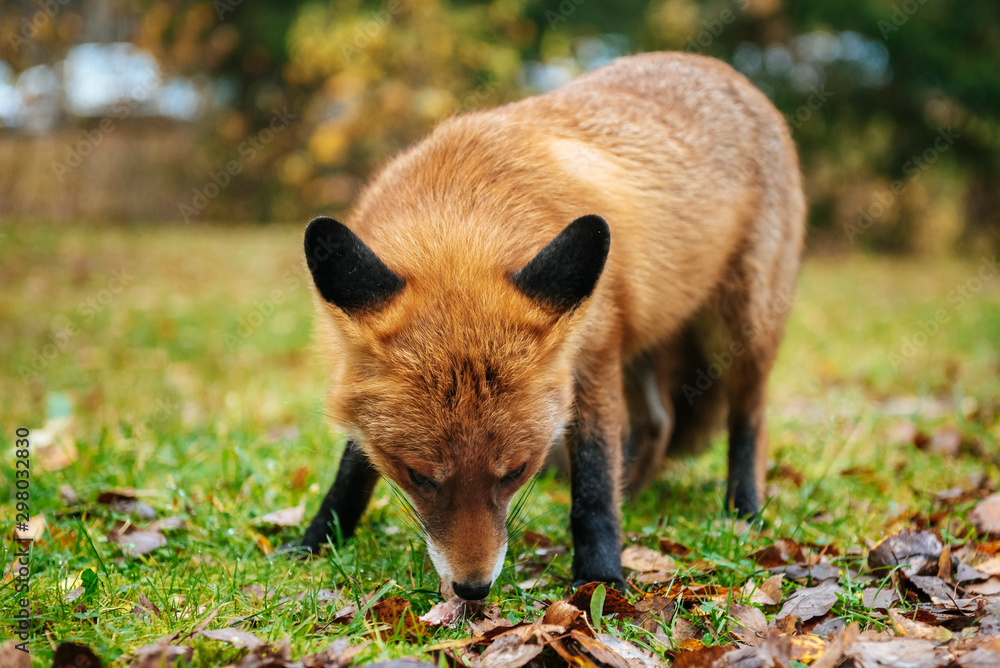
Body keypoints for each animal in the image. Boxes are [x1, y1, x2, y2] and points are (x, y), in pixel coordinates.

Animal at [293, 51, 805, 600]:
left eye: (515, 472)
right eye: (417, 475)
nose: (473, 588)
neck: (462, 218)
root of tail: (719, 69)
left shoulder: (594, 353)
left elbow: (595, 480)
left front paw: (600, 576)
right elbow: (351, 471)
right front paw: (316, 540)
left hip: (741, 328)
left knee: (748, 419)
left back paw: (744, 510)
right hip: (645, 334)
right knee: (659, 421)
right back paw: (636, 492)